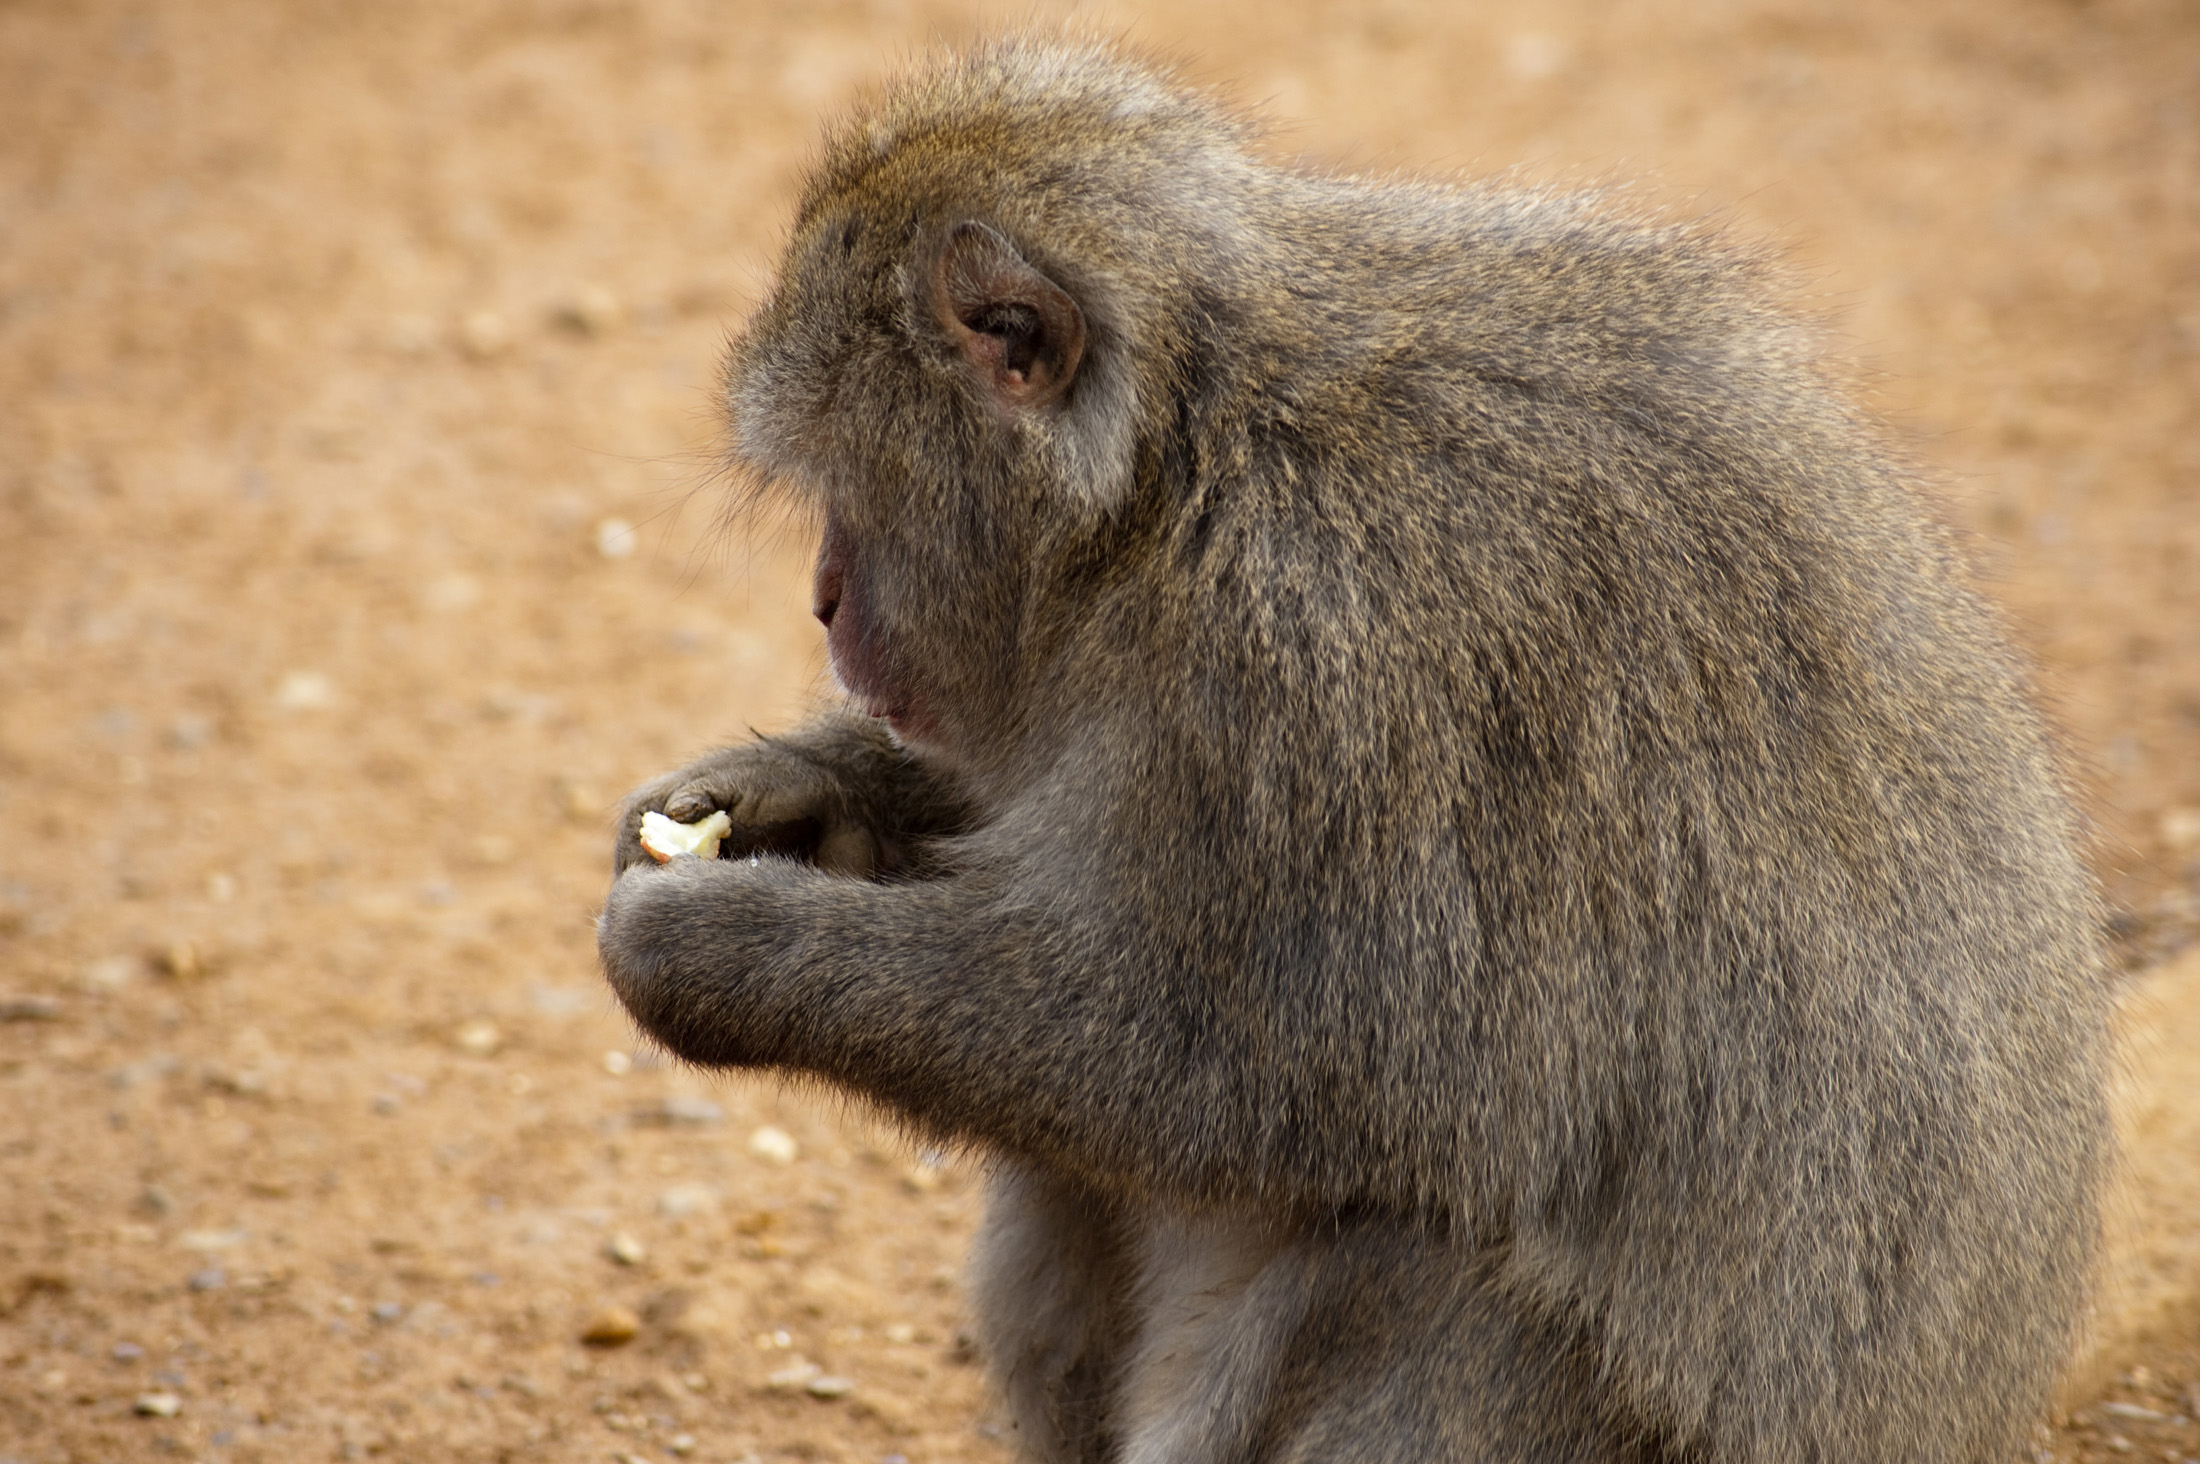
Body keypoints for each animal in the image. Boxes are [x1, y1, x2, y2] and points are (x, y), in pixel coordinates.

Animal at [596, 39, 2111, 1464]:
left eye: (848, 490)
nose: (826, 605)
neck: (1179, 466)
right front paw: (787, 799)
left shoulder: (1311, 668)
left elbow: (1225, 1070)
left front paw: (724, 952)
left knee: (1420, 1263)